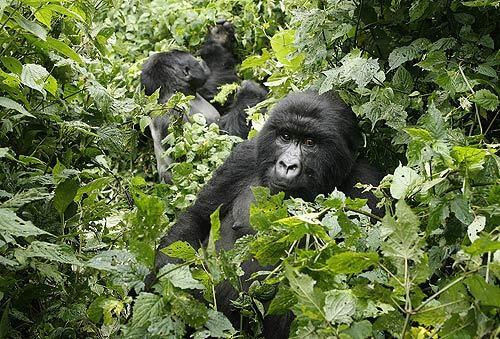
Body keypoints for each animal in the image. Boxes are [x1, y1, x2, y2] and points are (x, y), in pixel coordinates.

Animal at [139, 21, 268, 183]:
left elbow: (214, 86)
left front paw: (218, 37)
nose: (200, 61)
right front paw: (250, 92)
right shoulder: (174, 116)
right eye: (194, 59)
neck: (175, 93)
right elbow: (220, 145)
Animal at [153, 89, 382, 338]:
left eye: (309, 142)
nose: (287, 165)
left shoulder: (366, 183)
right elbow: (197, 220)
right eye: (285, 136)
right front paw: (168, 293)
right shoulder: (243, 157)